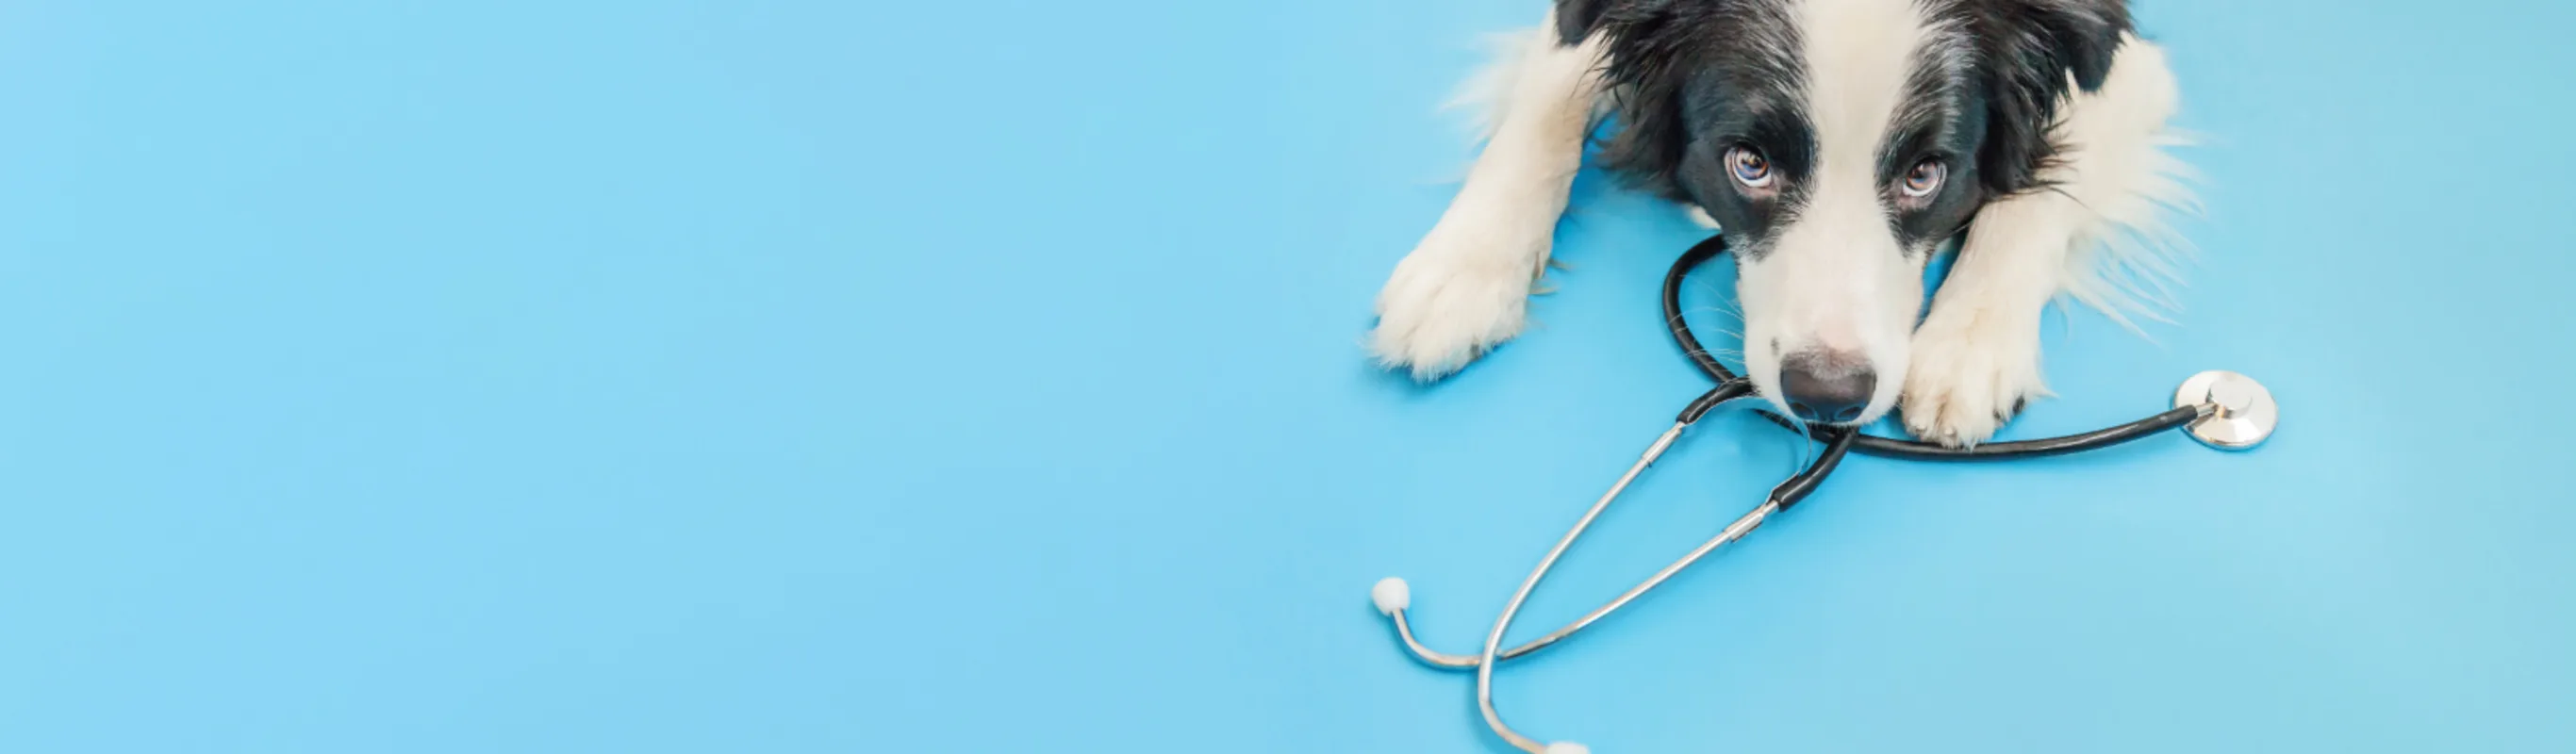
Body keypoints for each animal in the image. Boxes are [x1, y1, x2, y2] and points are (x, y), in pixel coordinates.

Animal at [1370, 0, 2194, 445]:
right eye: (1750, 165)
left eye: (1925, 174)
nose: (1827, 396)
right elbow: (1548, 104)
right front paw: (1462, 271)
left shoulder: (2127, 63)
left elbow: (2040, 194)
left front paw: (1969, 348)